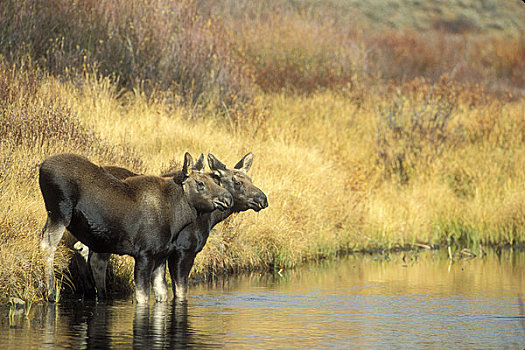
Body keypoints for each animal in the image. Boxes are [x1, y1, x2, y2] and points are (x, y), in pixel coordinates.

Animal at [38, 153, 231, 304]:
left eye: (213, 180)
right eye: (200, 183)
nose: (227, 197)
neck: (176, 216)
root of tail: (41, 167)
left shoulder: (161, 256)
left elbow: (162, 293)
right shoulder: (144, 254)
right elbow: (142, 296)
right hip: (59, 213)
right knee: (48, 246)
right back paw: (50, 293)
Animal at [73, 152, 268, 300]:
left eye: (250, 179)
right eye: (237, 182)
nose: (263, 199)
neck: (210, 218)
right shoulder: (183, 250)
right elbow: (180, 291)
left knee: (81, 250)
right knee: (96, 261)